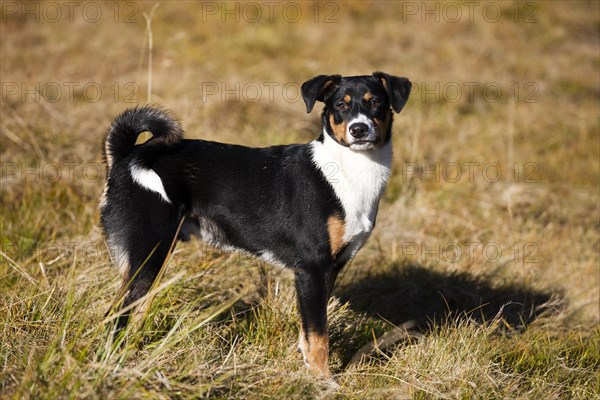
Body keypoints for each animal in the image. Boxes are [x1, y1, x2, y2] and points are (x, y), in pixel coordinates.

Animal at [102, 72, 412, 378]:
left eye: (375, 103)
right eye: (341, 105)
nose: (359, 129)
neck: (348, 170)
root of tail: (127, 156)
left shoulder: (329, 270)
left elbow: (308, 334)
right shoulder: (311, 270)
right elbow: (318, 337)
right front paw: (324, 382)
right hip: (148, 255)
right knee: (115, 315)